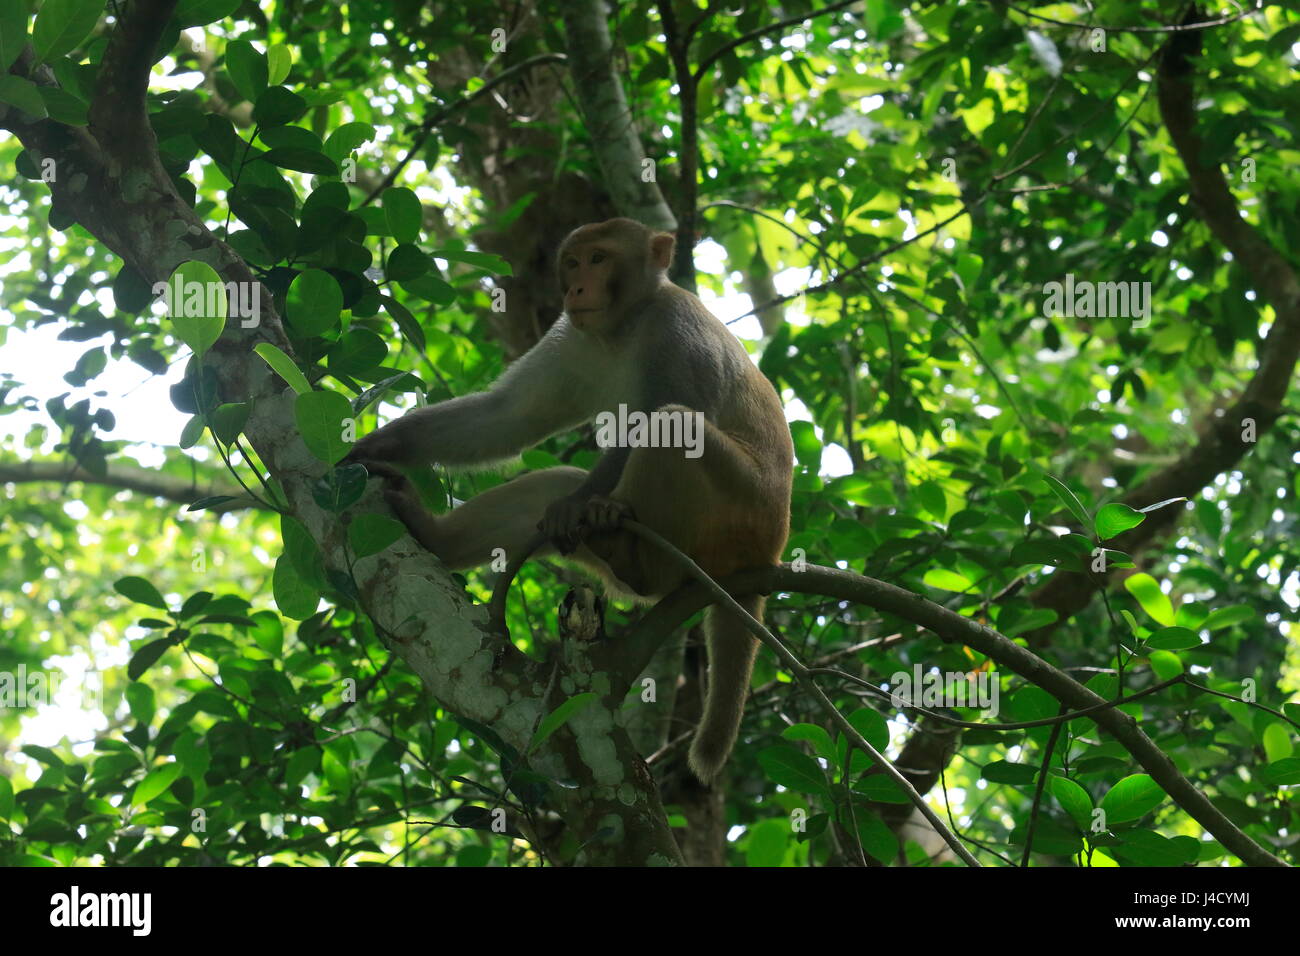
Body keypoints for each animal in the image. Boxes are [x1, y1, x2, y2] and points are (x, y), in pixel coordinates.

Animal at [356, 218, 795, 785]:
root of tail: (769, 553)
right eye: (573, 261)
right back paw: (436, 534)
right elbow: (506, 418)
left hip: (739, 516)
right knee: (548, 488)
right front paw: (380, 443)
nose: (576, 288)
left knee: (675, 425)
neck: (621, 328)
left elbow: (666, 418)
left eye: (600, 258)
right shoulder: (571, 340)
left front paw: (578, 506)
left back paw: (633, 554)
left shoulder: (677, 333)